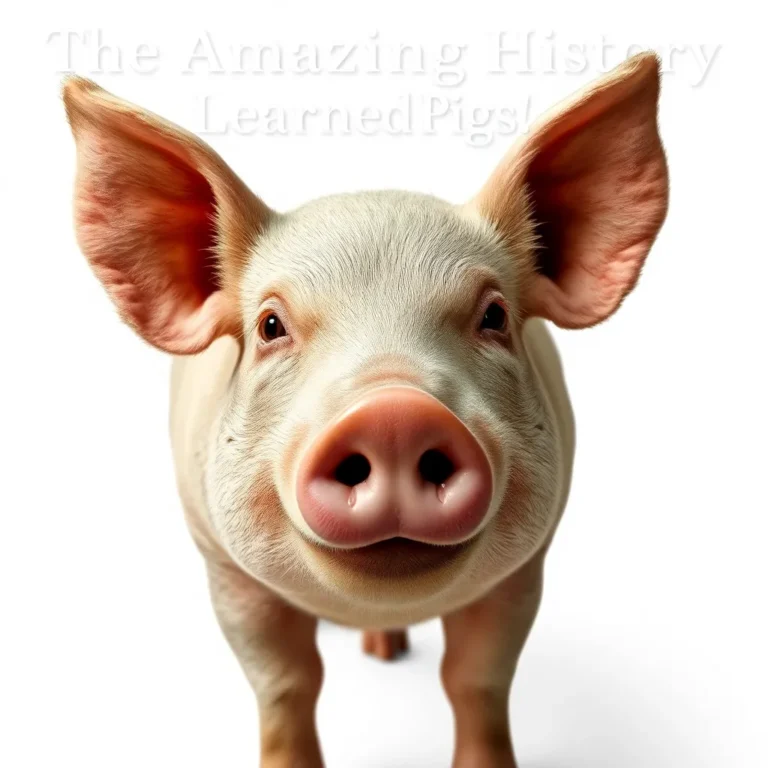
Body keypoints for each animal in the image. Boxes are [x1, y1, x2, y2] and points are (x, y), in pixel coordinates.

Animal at [62, 50, 668, 767]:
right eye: (270, 325)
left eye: (493, 316)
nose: (395, 415)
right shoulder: (224, 568)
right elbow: (286, 682)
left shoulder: (525, 569)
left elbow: (477, 678)